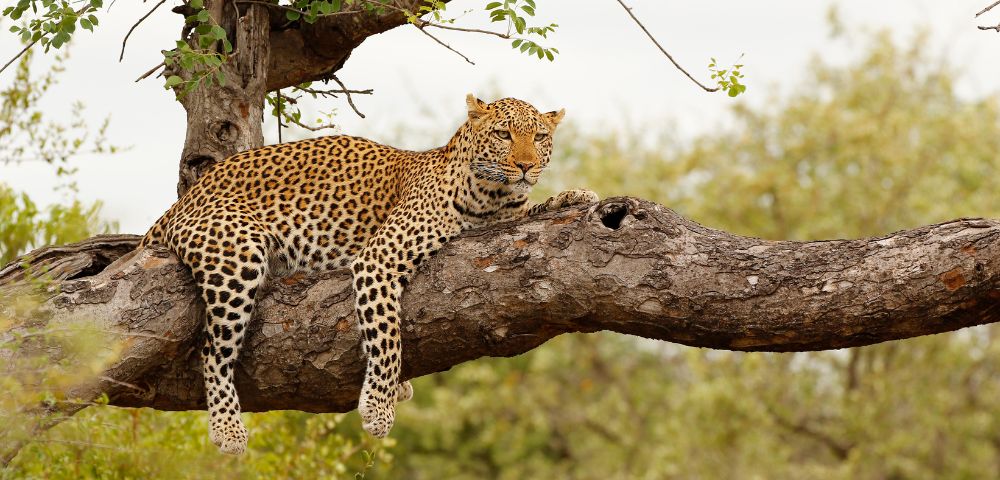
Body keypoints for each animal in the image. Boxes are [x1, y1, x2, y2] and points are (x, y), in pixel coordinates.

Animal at [139, 94, 599, 455]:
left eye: (539, 138)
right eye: (504, 135)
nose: (524, 166)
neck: (493, 197)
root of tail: (181, 204)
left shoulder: (509, 215)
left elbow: (538, 207)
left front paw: (575, 195)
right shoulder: (379, 257)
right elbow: (387, 335)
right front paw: (378, 407)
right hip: (237, 257)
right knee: (214, 350)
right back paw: (228, 429)